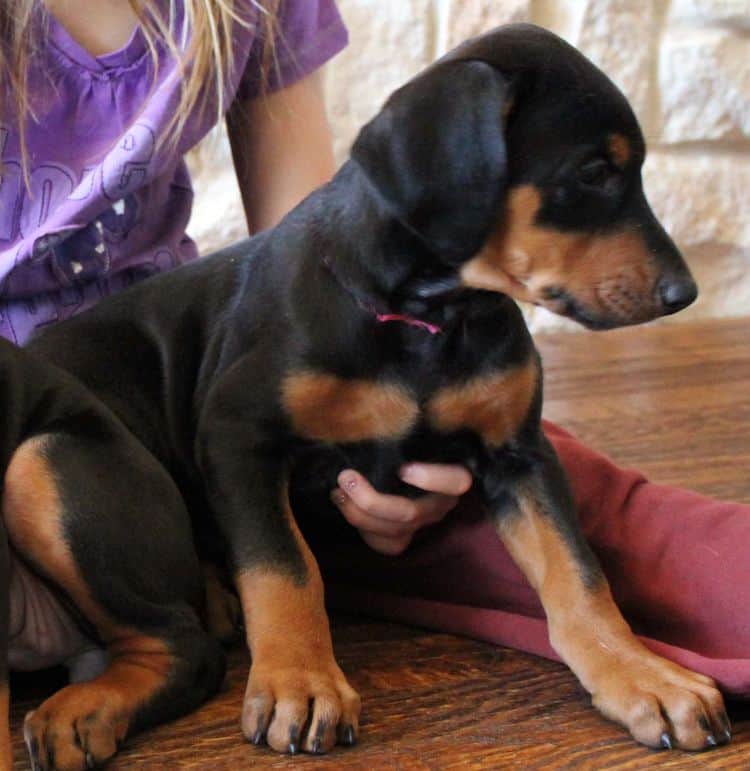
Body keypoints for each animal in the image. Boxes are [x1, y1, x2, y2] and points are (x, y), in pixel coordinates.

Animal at [4, 21, 728, 768]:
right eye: (591, 172)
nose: (684, 293)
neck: (426, 317)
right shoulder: (237, 435)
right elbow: (284, 567)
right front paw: (301, 682)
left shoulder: (520, 454)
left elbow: (580, 574)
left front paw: (642, 675)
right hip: (54, 459)